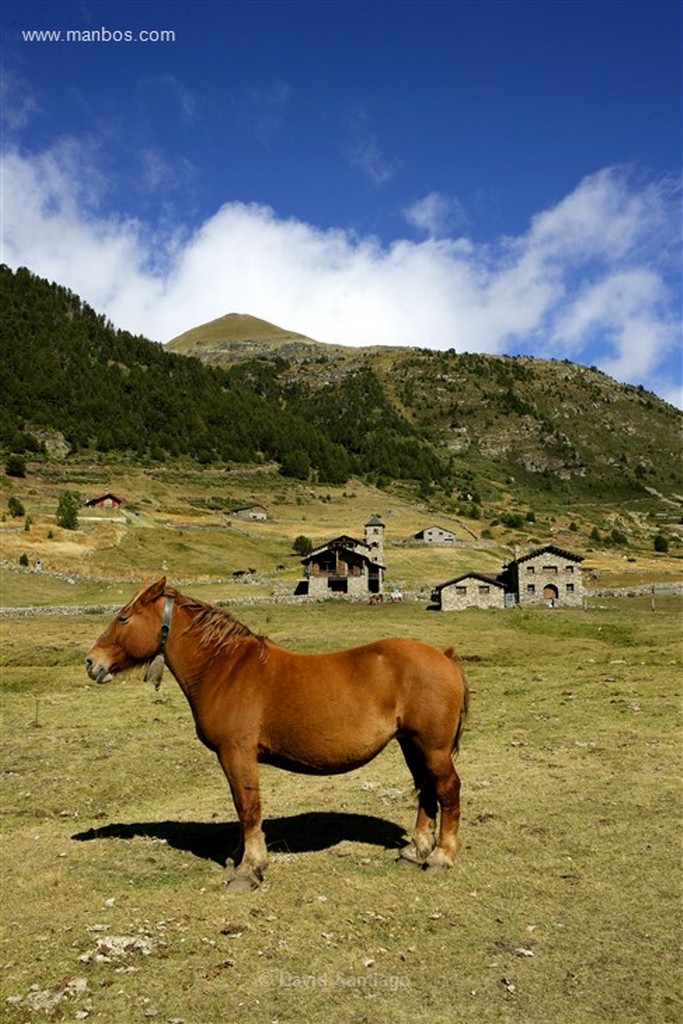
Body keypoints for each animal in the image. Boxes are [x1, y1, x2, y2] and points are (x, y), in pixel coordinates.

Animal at [83, 581, 471, 892]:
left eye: (123, 618)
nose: (91, 662)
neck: (223, 669)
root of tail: (445, 657)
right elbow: (242, 808)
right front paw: (240, 858)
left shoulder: (237, 752)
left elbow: (248, 807)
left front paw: (249, 869)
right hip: (411, 744)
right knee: (426, 790)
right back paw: (414, 850)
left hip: (432, 747)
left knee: (447, 789)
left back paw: (440, 856)